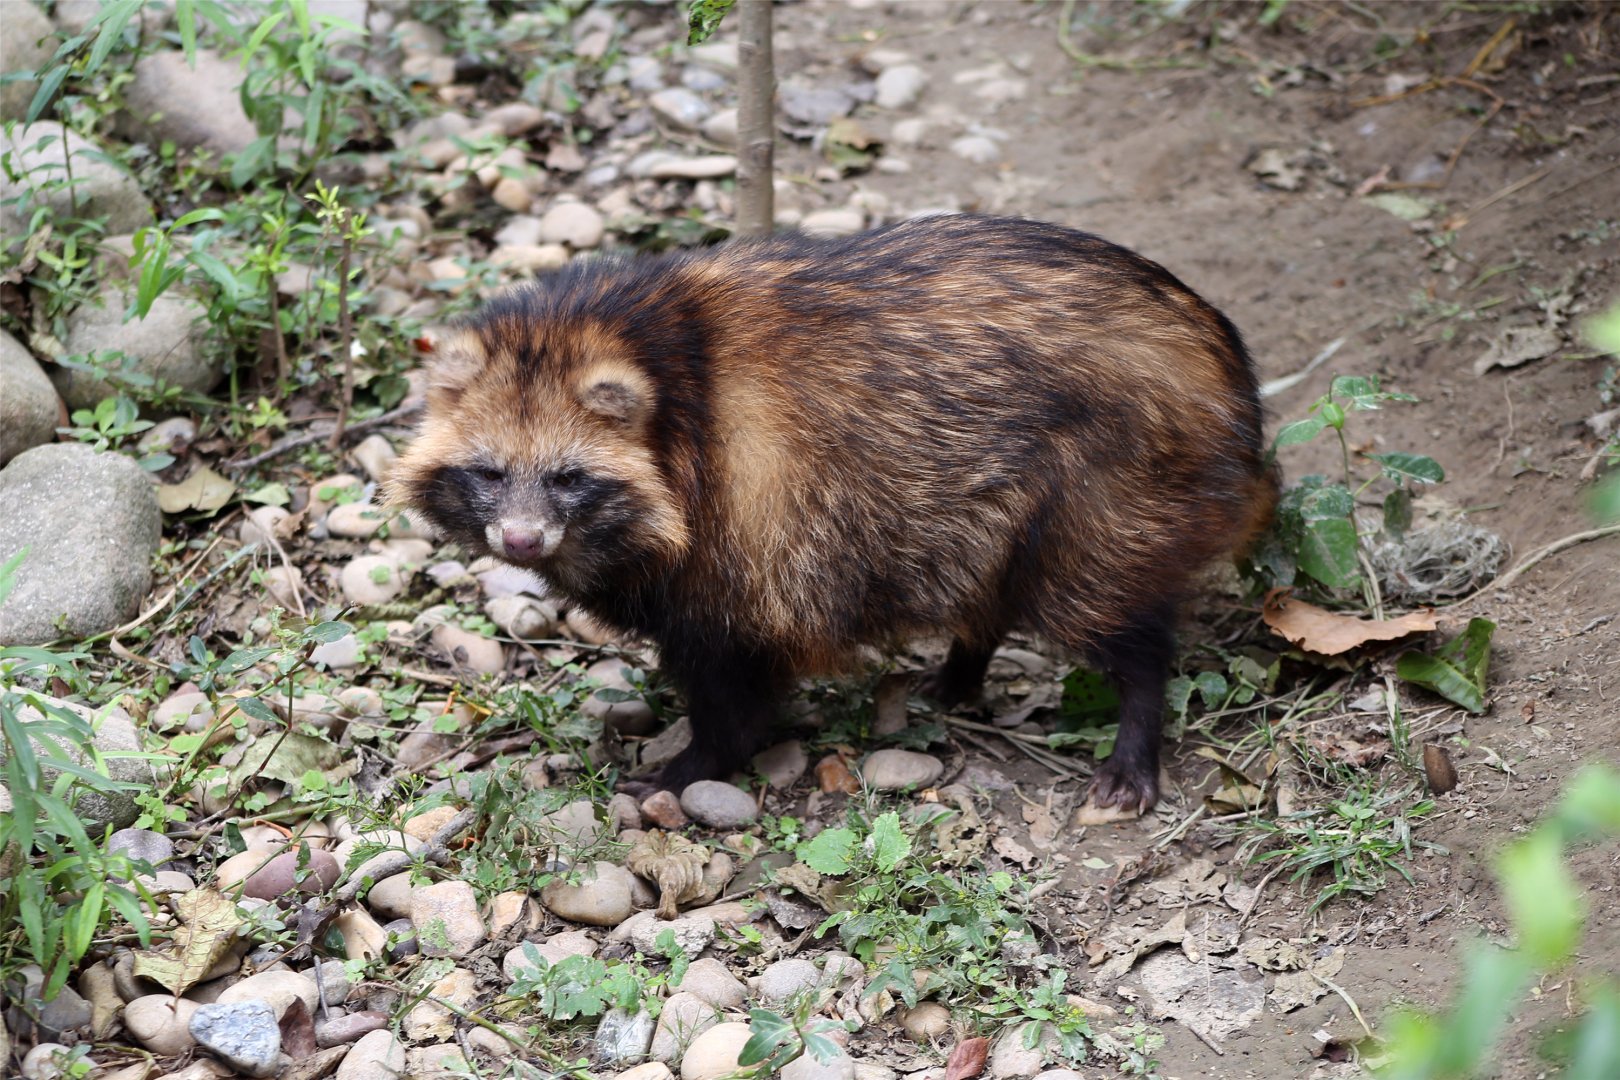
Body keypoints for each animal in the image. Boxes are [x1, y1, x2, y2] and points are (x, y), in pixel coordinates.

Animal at [390, 214, 1276, 812]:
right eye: (490, 472)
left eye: (569, 477)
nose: (522, 540)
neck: (654, 365)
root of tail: (1223, 361)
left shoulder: (735, 537)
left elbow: (731, 683)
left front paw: (699, 761)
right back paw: (966, 661)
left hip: (1112, 479)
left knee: (1097, 600)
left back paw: (1137, 710)